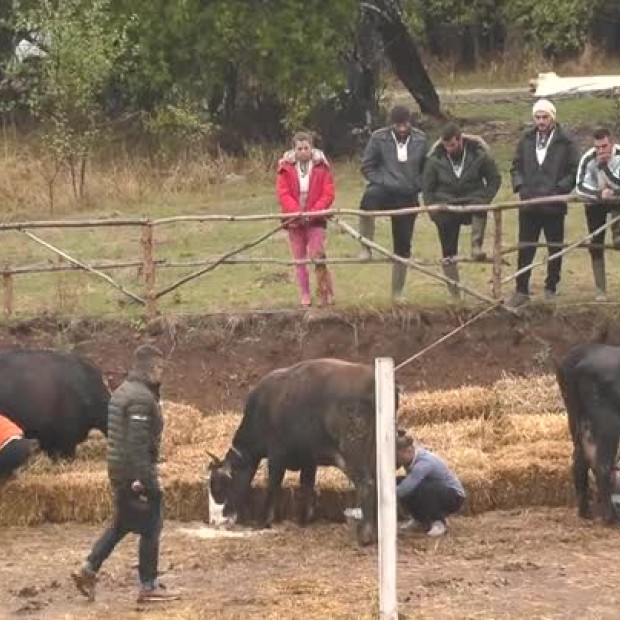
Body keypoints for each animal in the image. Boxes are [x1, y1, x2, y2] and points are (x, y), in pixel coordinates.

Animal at [205, 356, 398, 544]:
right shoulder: (309, 460)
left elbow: (273, 486)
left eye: (218, 487)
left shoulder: (277, 456)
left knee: (366, 484)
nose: (215, 521)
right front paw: (304, 519)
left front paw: (263, 521)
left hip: (352, 451)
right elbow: (306, 486)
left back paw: (365, 535)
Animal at [556, 344, 620, 524]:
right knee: (601, 465)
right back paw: (610, 518)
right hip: (608, 425)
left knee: (579, 460)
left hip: (575, 419)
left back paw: (585, 512)